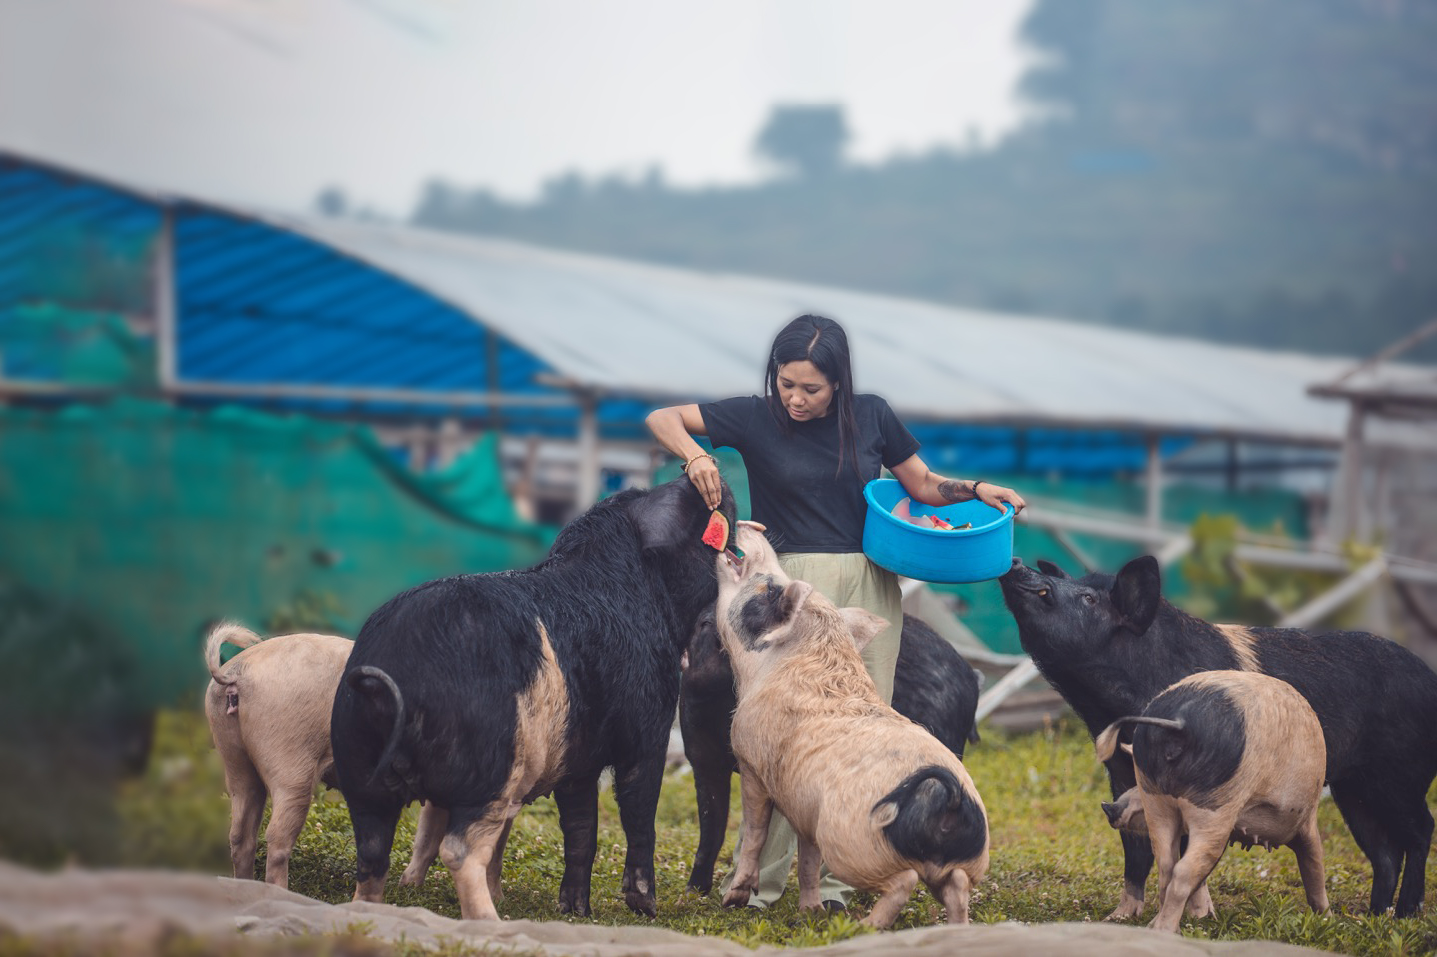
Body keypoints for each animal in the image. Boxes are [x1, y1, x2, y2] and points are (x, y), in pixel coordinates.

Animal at [333, 474, 741, 919]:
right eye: (698, 508)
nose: (712, 474)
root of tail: (396, 674)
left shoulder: (577, 755)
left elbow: (581, 828)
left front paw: (575, 910)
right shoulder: (648, 723)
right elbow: (638, 807)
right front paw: (647, 908)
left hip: (358, 763)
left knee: (372, 850)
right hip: (487, 769)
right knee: (458, 849)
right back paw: (491, 920)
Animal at [1000, 551, 1437, 919]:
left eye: (1089, 599)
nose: (1017, 561)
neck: (1114, 707)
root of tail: (1430, 679)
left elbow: (1187, 849)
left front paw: (1200, 917)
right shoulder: (1123, 773)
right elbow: (1136, 851)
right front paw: (1119, 918)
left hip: (1400, 775)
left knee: (1420, 831)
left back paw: (1405, 915)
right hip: (1353, 787)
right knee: (1383, 852)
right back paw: (1373, 916)